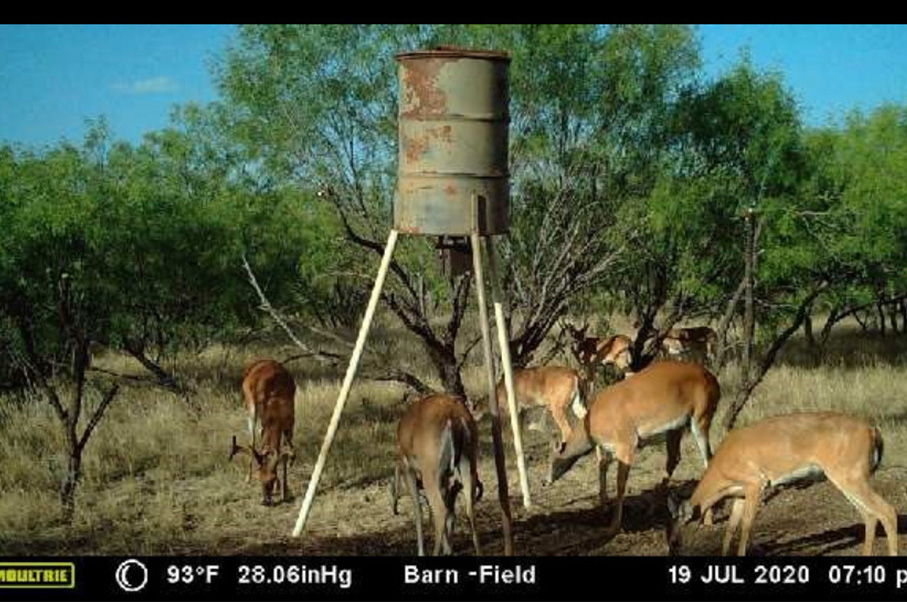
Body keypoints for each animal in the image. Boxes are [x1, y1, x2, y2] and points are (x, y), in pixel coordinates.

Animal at [229, 358, 296, 504]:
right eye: (259, 478)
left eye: (272, 478)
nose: (265, 501)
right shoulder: (266, 422)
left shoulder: (290, 423)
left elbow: (285, 452)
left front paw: (284, 490)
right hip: (250, 407)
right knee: (252, 440)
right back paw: (247, 477)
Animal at [394, 392, 486, 556]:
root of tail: (454, 417)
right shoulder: (445, 476)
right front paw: (448, 548)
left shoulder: (408, 468)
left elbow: (418, 510)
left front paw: (423, 551)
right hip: (468, 462)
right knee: (468, 508)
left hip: (430, 471)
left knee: (440, 510)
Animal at [544, 358, 720, 536]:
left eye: (553, 459)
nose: (545, 482)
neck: (595, 421)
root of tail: (713, 379)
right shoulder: (612, 448)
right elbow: (602, 465)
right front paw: (603, 506)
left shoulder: (627, 444)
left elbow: (620, 483)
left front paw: (613, 526)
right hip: (676, 429)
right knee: (674, 458)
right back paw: (651, 509)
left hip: (700, 419)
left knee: (708, 459)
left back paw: (708, 520)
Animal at [672, 410, 896, 556]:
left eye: (675, 541)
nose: (674, 551)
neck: (721, 469)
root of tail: (872, 430)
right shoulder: (739, 493)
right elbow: (730, 528)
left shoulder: (756, 483)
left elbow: (746, 526)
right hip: (849, 477)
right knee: (870, 515)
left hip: (850, 474)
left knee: (887, 511)